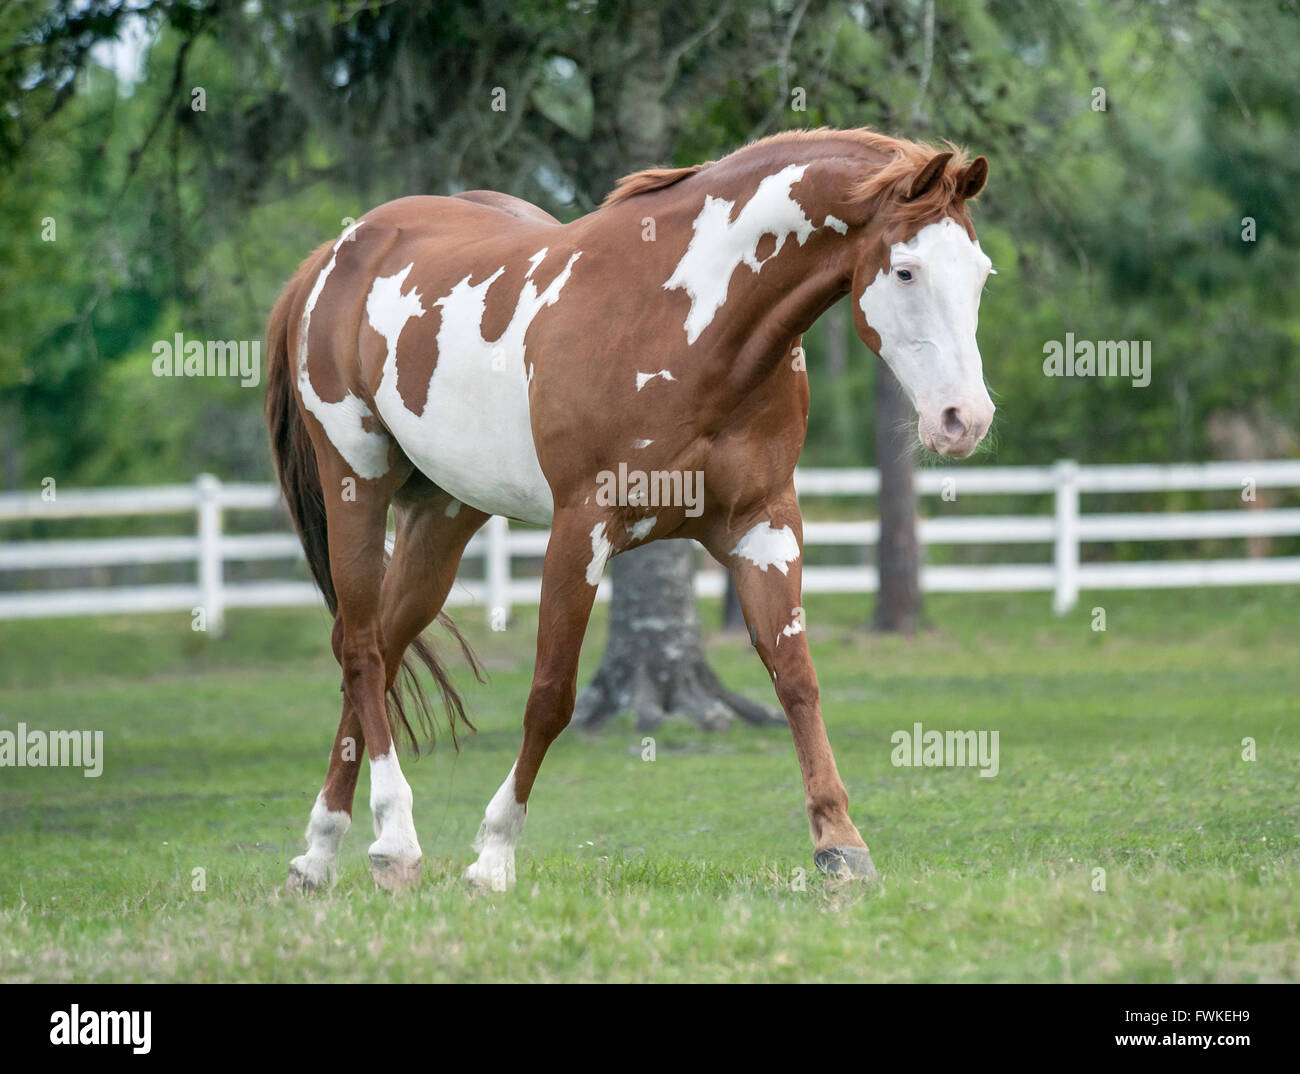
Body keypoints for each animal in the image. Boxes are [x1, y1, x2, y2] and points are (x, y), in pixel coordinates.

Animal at [266, 125, 993, 889]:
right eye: (907, 271)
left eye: (980, 274)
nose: (963, 420)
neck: (686, 323)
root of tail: (336, 255)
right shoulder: (581, 529)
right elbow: (550, 696)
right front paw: (494, 855)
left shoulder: (765, 525)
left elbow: (796, 679)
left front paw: (839, 842)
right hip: (357, 482)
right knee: (362, 651)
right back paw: (393, 839)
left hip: (443, 515)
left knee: (382, 647)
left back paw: (322, 851)